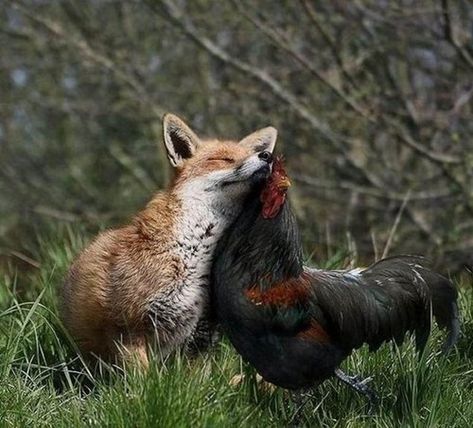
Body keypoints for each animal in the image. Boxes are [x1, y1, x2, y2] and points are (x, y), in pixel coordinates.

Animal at [62, 113, 276, 368]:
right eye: (223, 159)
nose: (268, 156)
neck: (193, 251)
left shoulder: (201, 337)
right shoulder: (129, 330)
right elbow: (142, 379)